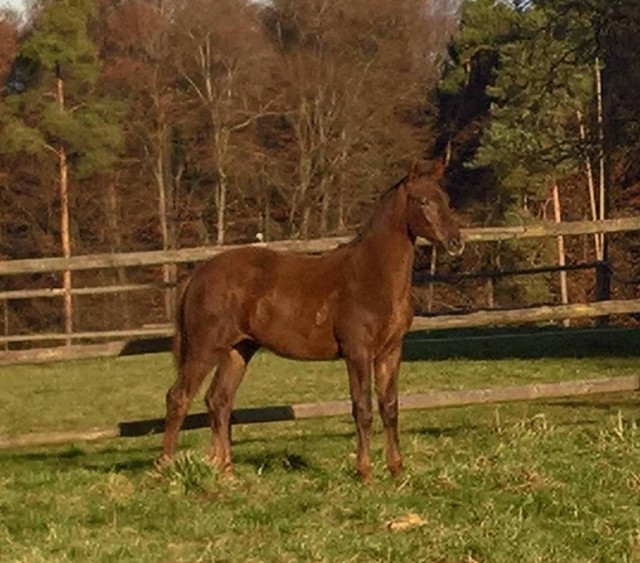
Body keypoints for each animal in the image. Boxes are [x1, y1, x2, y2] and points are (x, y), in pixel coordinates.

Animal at [158, 162, 462, 480]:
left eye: (446, 199)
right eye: (423, 201)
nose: (456, 242)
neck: (372, 274)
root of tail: (198, 273)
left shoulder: (391, 351)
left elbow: (389, 407)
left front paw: (396, 468)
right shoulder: (358, 352)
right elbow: (362, 408)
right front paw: (365, 471)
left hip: (237, 351)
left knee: (219, 400)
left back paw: (227, 472)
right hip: (204, 349)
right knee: (178, 397)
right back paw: (165, 469)